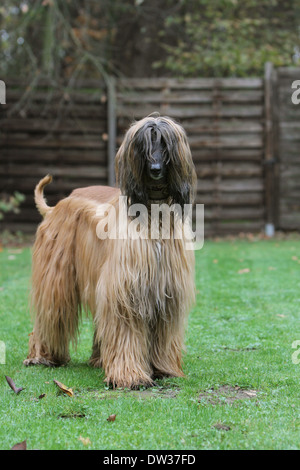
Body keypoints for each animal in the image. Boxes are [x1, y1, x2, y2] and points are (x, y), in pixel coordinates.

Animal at [23, 114, 197, 390]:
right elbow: (125, 326)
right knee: (50, 312)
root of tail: (56, 206)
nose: (155, 169)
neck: (153, 211)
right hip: (56, 274)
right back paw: (43, 355)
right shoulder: (126, 286)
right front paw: (130, 376)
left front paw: (163, 369)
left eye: (165, 143)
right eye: (143, 144)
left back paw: (97, 359)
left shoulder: (167, 287)